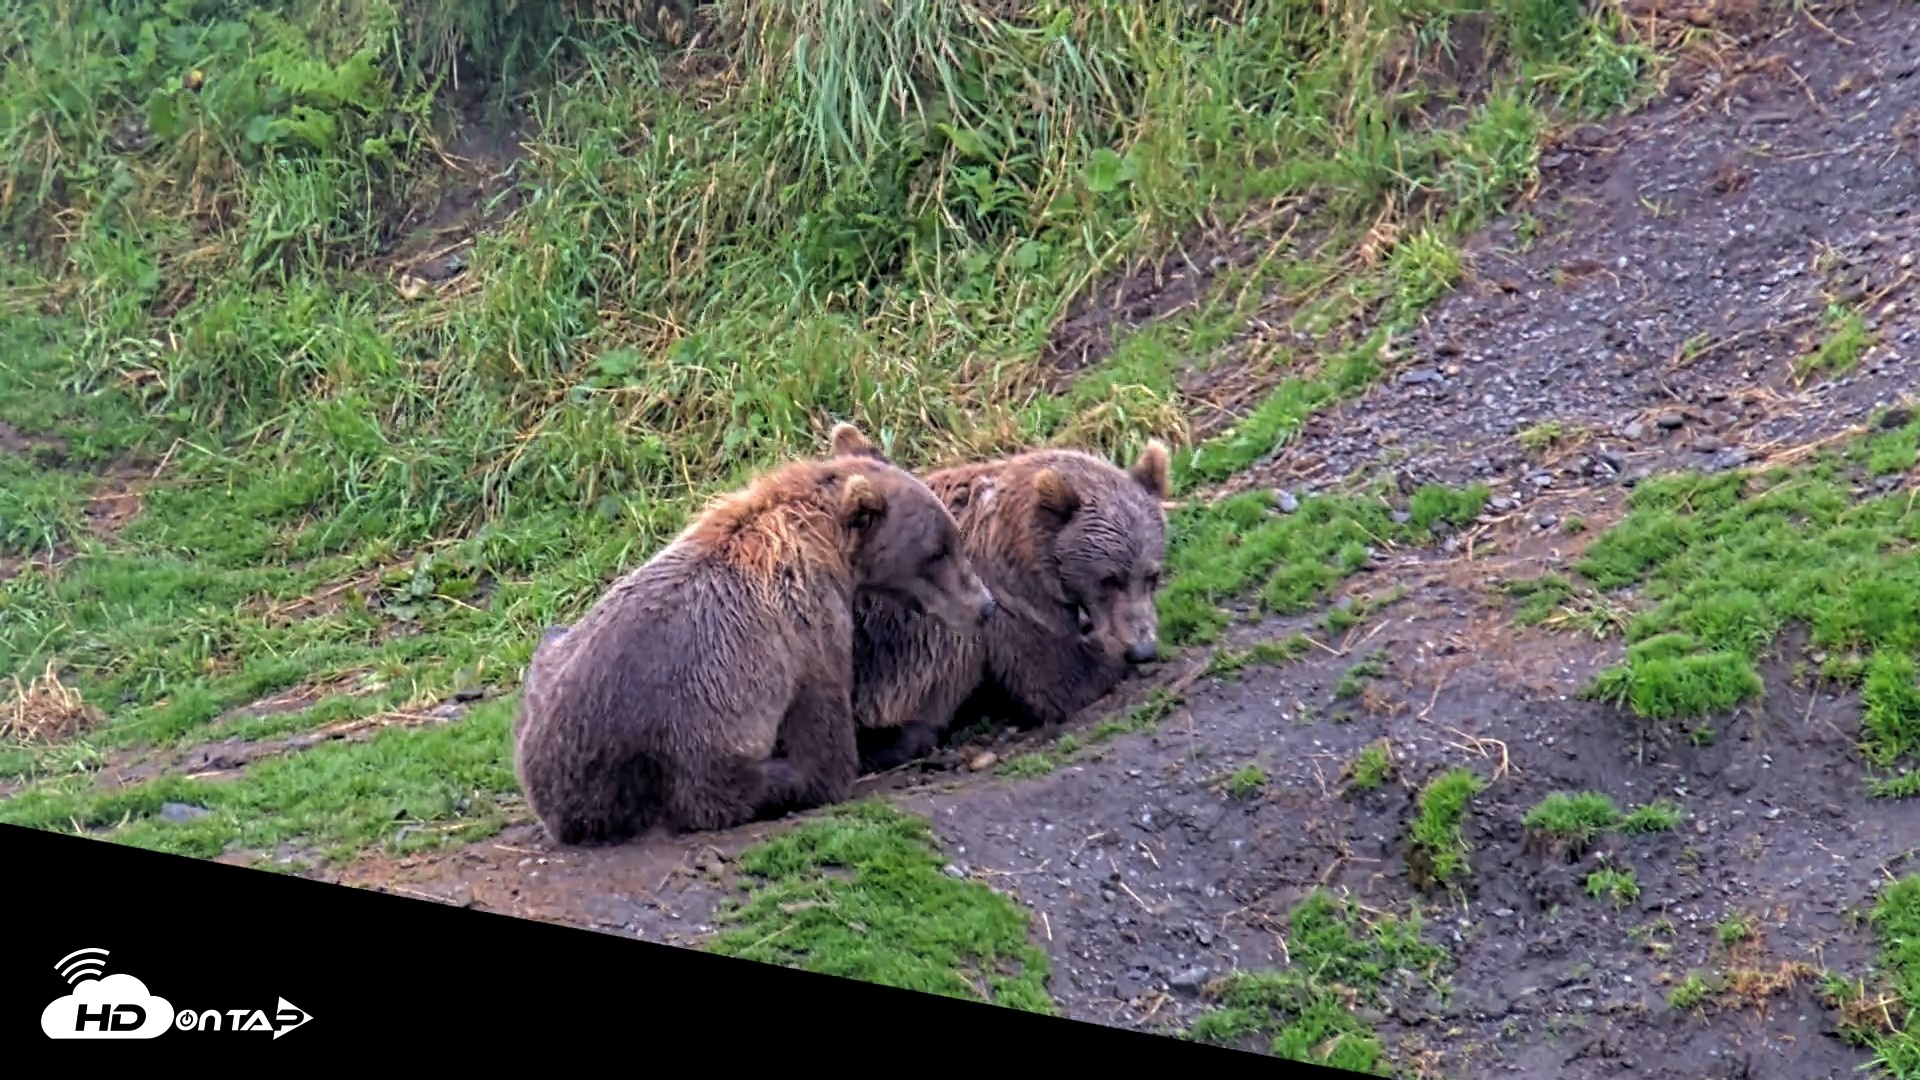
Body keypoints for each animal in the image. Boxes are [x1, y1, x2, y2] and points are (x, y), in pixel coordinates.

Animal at [511, 424, 997, 846]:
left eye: (952, 539)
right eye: (937, 552)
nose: (985, 606)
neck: (823, 544)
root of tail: (561, 801)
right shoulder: (809, 634)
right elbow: (827, 737)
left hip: (553, 661)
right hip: (689, 746)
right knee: (753, 784)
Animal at [842, 435, 1171, 774]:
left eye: (1152, 575)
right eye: (1109, 579)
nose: (1142, 649)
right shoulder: (1003, 601)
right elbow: (1055, 679)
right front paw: (1105, 652)